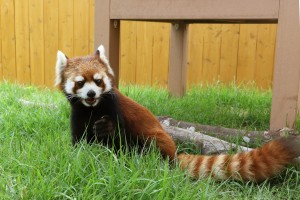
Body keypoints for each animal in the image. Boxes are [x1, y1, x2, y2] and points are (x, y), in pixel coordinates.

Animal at [54, 44, 300, 182]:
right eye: (80, 83)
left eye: (98, 80)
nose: (92, 93)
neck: (93, 110)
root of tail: (173, 156)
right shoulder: (78, 117)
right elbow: (79, 142)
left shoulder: (114, 108)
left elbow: (119, 137)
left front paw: (106, 130)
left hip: (157, 140)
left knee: (145, 146)